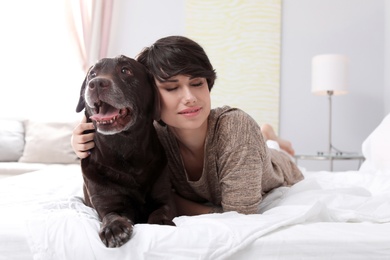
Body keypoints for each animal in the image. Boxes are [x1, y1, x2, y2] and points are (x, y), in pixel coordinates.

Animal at [75, 55, 175, 248]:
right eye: (92, 74)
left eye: (125, 70)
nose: (95, 83)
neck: (124, 147)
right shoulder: (108, 203)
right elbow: (111, 215)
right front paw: (113, 228)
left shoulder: (165, 198)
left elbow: (162, 210)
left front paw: (161, 222)